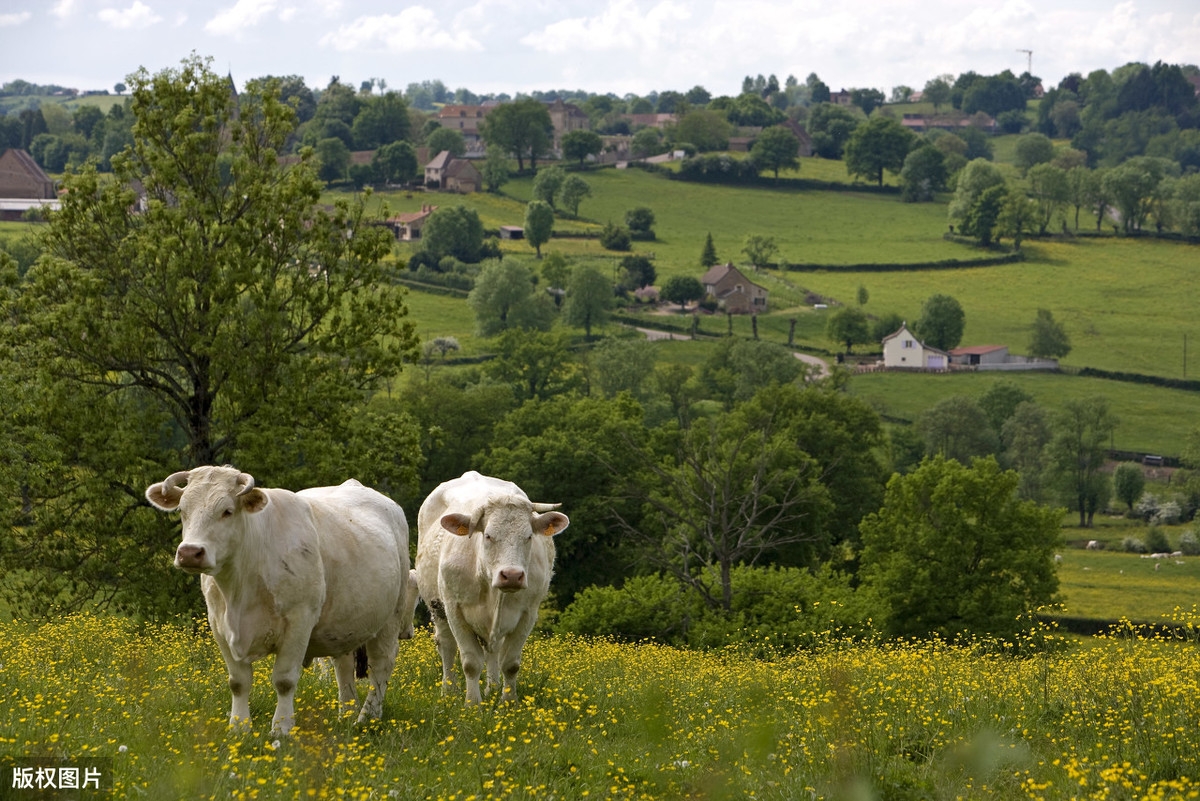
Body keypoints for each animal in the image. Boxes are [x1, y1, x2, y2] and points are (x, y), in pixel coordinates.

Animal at [145, 465, 412, 733]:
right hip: (344, 623)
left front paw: (281, 728)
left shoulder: (299, 621)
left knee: (381, 666)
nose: (190, 552)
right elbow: (238, 682)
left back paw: (368, 717)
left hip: (392, 616)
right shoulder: (219, 625)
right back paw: (346, 715)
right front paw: (239, 728)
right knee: (343, 668)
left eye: (227, 511)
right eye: (182, 510)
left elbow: (284, 680)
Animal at [415, 472, 568, 705]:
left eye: (529, 536)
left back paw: (493, 688)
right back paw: (449, 692)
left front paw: (509, 702)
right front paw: (472, 704)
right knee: (446, 646)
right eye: (487, 535)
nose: (512, 575)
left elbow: (511, 664)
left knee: (492, 650)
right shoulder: (454, 609)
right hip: (437, 606)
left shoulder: (528, 613)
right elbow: (470, 662)